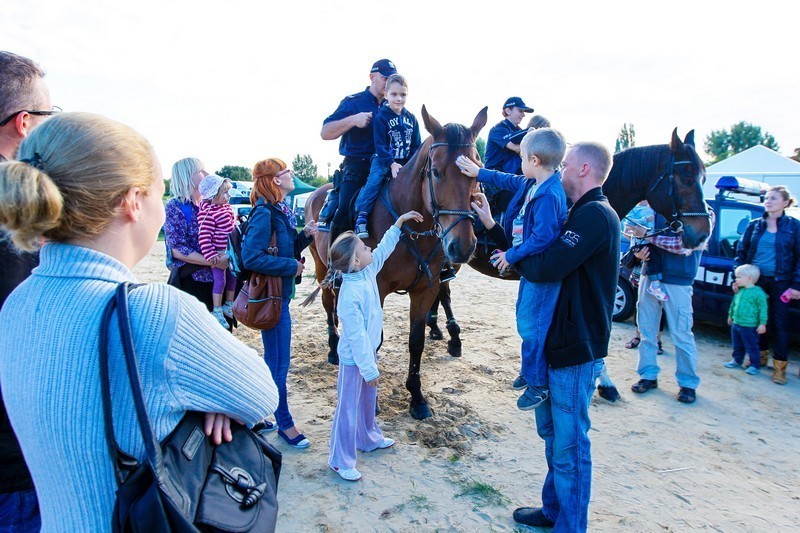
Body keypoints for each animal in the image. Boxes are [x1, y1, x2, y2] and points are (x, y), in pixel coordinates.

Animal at [304, 105, 484, 420]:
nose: (462, 246)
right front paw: (371, 400)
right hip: (321, 267)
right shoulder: (375, 286)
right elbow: (374, 338)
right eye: (435, 172)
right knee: (329, 306)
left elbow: (416, 341)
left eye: (474, 170)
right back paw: (333, 350)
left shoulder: (426, 288)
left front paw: (417, 397)